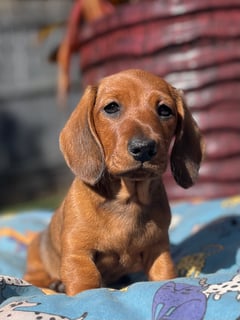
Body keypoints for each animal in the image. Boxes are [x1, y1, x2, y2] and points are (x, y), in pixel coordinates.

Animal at [24, 69, 203, 296]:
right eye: (111, 107)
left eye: (164, 110)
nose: (144, 148)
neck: (128, 200)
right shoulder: (78, 253)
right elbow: (85, 284)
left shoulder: (159, 249)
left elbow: (164, 274)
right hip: (36, 264)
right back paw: (55, 284)